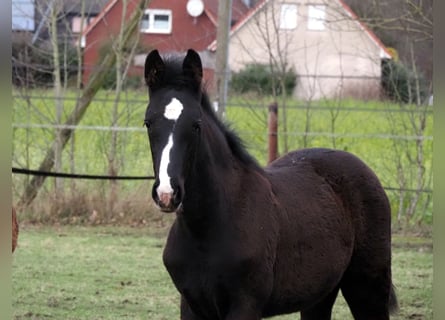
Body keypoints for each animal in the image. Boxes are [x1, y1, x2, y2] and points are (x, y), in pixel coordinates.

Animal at [142, 48, 396, 318]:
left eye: (196, 124)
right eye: (148, 123)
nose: (167, 193)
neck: (207, 228)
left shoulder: (246, 305)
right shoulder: (191, 305)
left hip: (368, 288)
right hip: (320, 295)